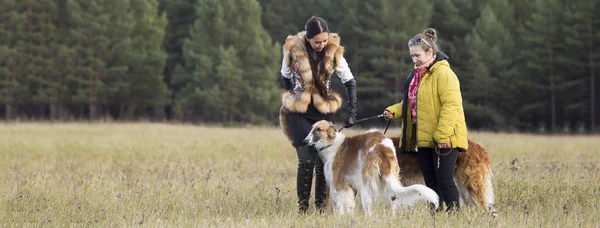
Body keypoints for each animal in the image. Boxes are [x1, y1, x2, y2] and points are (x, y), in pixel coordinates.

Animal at [302, 120, 438, 216]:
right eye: (311, 129)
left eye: (318, 129)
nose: (304, 141)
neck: (332, 144)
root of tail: (381, 147)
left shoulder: (337, 185)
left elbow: (339, 207)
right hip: (387, 181)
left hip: (366, 185)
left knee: (369, 210)